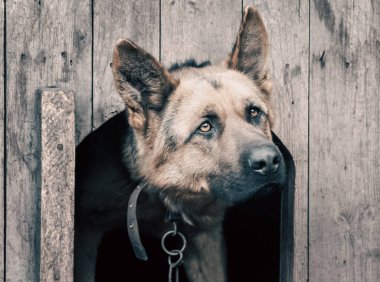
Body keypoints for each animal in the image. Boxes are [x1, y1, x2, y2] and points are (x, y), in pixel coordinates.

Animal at [75, 4, 284, 282]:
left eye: (254, 113)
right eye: (204, 127)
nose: (269, 162)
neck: (166, 196)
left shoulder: (207, 240)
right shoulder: (84, 232)